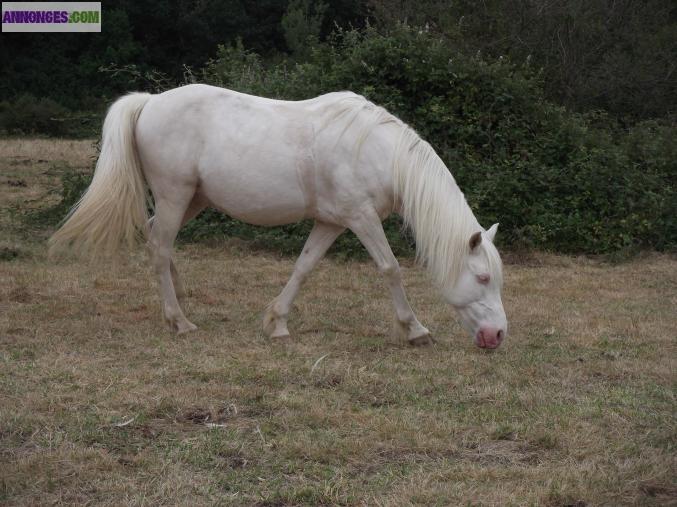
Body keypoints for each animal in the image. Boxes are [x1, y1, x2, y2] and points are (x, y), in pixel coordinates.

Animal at [51, 85, 508, 352]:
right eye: (483, 277)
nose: (498, 335)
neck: (378, 151)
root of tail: (150, 101)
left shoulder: (332, 222)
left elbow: (304, 267)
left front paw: (277, 323)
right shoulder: (361, 218)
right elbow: (390, 268)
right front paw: (414, 329)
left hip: (191, 199)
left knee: (157, 241)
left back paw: (179, 300)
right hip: (174, 195)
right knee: (160, 247)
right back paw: (178, 321)